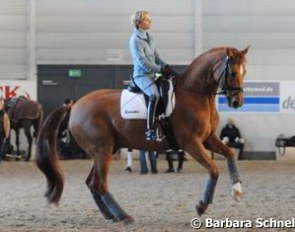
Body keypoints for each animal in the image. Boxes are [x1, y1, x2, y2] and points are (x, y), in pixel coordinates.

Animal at [36, 46, 250, 223]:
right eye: (232, 72)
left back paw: (110, 215)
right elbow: (213, 169)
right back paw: (123, 216)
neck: (193, 95)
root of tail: (74, 105)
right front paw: (201, 206)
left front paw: (237, 190)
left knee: (92, 183)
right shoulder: (191, 143)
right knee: (100, 184)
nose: (237, 102)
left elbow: (230, 154)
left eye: (244, 72)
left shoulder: (207, 139)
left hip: (102, 151)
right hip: (102, 150)